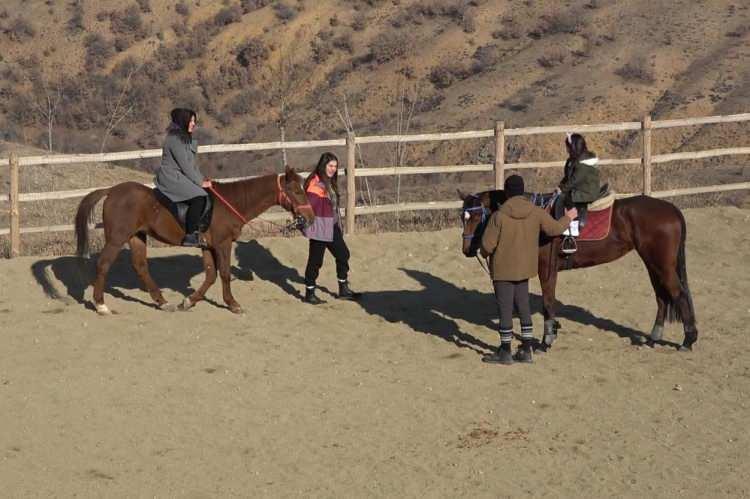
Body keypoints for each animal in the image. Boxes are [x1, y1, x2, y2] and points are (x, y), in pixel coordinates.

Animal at [74, 168, 314, 316]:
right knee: (103, 265)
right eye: (296, 191)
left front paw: (188, 301)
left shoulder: (207, 246)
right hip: (117, 239)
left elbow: (210, 275)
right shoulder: (223, 244)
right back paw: (101, 306)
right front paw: (233, 304)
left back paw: (163, 303)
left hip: (137, 237)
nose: (310, 218)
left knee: (140, 266)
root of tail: (112, 191)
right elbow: (224, 273)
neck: (230, 203)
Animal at [462, 190, 704, 352]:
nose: (467, 249)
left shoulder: (546, 269)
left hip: (661, 265)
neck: (536, 219)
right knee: (662, 296)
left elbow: (548, 301)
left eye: (477, 216)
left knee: (678, 294)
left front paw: (546, 340)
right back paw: (653, 338)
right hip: (653, 264)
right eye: (462, 217)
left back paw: (688, 340)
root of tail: (671, 210)